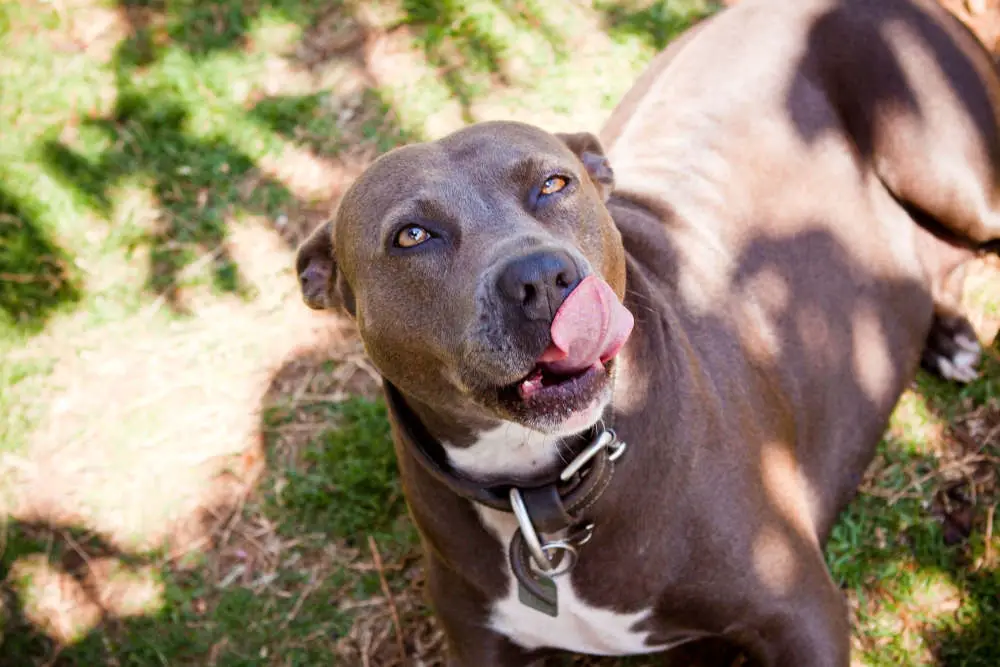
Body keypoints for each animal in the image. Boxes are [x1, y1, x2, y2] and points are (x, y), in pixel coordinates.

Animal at [296, 0, 1000, 664]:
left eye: (554, 183)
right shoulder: (477, 644)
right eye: (412, 235)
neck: (542, 496)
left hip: (953, 174)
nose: (543, 278)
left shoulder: (802, 613)